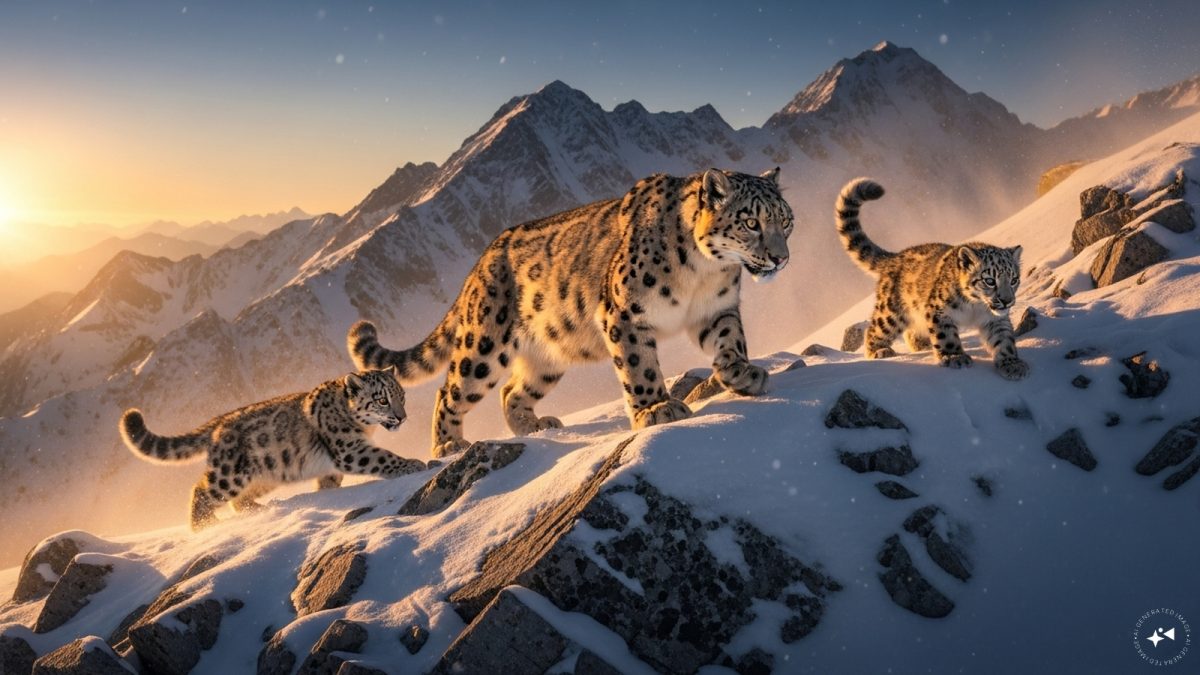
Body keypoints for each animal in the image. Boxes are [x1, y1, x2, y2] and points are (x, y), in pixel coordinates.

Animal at [119, 367, 425, 530]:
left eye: (402, 396)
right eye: (382, 400)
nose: (402, 417)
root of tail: (219, 422)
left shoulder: (331, 466)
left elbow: (328, 484)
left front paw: (325, 496)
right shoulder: (349, 450)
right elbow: (382, 458)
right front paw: (414, 464)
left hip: (265, 474)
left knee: (238, 500)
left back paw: (262, 508)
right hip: (230, 474)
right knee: (202, 491)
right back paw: (203, 528)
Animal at [349, 168, 794, 457]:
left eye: (786, 221)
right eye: (751, 222)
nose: (781, 259)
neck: (702, 273)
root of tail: (479, 264)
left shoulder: (716, 309)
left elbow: (730, 341)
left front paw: (741, 373)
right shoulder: (624, 314)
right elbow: (640, 367)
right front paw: (655, 408)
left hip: (549, 354)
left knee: (513, 390)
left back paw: (534, 426)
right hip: (484, 346)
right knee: (451, 389)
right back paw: (447, 444)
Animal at [835, 177, 1030, 380]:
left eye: (1014, 280)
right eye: (990, 280)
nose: (1007, 301)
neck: (975, 308)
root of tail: (895, 257)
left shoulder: (994, 319)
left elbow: (1004, 339)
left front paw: (1012, 364)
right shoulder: (939, 311)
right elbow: (946, 336)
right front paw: (955, 357)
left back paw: (922, 344)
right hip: (890, 314)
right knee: (875, 329)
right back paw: (879, 351)